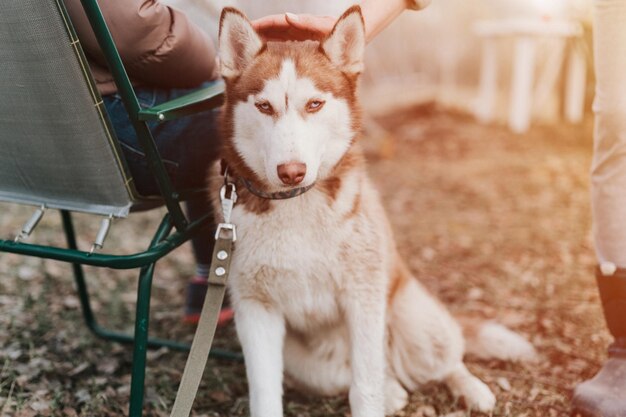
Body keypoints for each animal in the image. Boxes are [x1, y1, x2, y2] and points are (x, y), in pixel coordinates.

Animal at [214, 7, 536, 416]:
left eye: (314, 104)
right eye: (264, 106)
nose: (291, 171)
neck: (297, 202)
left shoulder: (363, 296)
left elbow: (364, 387)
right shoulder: (255, 309)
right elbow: (266, 393)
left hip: (417, 323)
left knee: (447, 360)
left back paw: (472, 389)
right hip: (304, 362)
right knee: (348, 375)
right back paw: (394, 389)